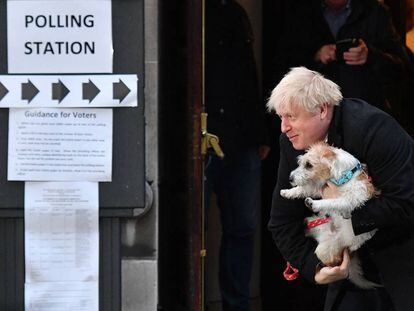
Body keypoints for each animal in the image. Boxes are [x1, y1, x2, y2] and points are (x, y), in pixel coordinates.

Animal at [282, 143, 378, 288]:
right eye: (300, 163)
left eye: (309, 165)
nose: (290, 178)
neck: (344, 177)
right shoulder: (319, 187)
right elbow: (304, 189)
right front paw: (288, 192)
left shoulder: (350, 199)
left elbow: (333, 202)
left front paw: (315, 203)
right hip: (312, 224)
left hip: (325, 251)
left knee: (331, 262)